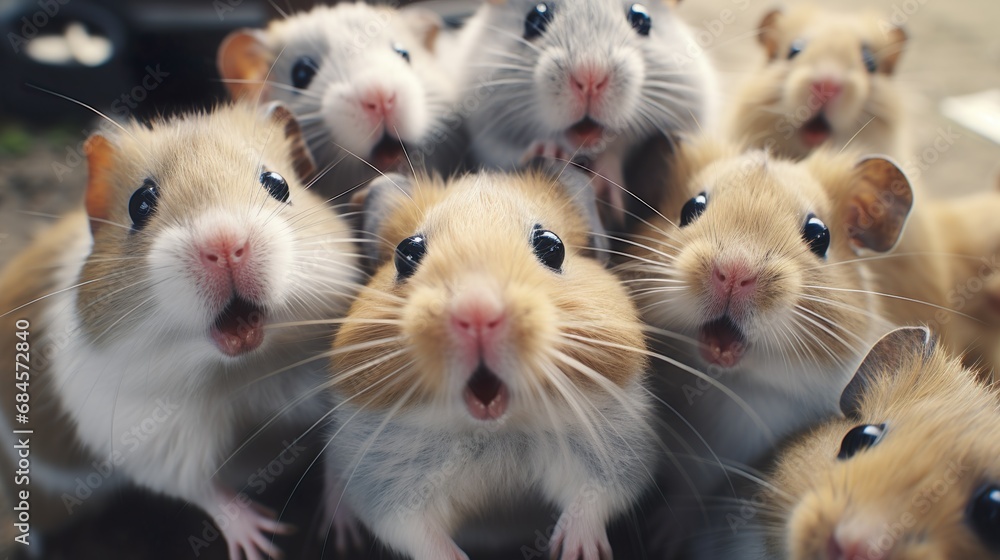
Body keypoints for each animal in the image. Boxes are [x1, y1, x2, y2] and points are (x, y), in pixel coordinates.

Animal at [3, 103, 360, 559]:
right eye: (139, 204)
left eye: (277, 183)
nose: (225, 244)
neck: (245, 369)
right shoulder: (153, 443)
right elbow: (204, 490)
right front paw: (265, 541)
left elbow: (339, 456)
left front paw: (343, 534)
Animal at [322, 168, 653, 560]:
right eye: (407, 252)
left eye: (553, 247)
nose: (477, 311)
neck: (495, 432)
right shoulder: (386, 484)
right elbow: (419, 534)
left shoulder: (617, 449)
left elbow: (593, 500)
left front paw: (576, 552)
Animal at [456, 0, 718, 222]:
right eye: (534, 18)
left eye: (642, 18)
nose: (590, 76)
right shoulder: (487, 140)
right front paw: (550, 150)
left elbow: (618, 149)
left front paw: (607, 189)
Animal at [621, 139, 915, 551]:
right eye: (690, 208)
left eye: (819, 235)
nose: (734, 272)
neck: (737, 383)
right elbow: (684, 492)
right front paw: (660, 538)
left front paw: (664, 540)